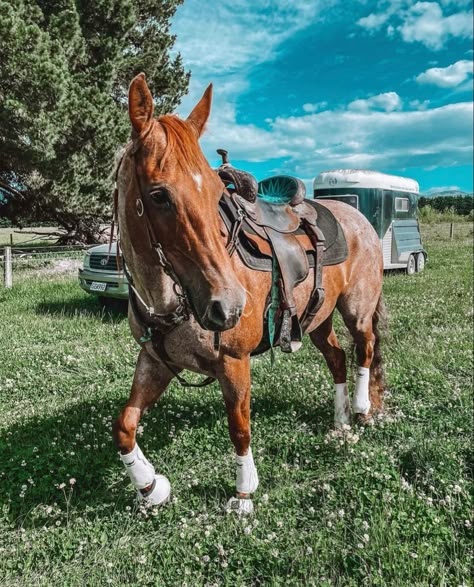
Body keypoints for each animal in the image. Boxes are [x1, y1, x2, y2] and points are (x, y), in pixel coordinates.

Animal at [111, 73, 386, 516]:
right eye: (158, 195)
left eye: (214, 195)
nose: (228, 307)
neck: (170, 299)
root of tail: (359, 218)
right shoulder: (154, 360)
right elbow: (124, 425)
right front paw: (150, 487)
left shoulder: (234, 363)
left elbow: (239, 427)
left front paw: (243, 493)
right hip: (318, 319)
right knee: (337, 358)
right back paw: (340, 420)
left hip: (357, 309)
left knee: (365, 346)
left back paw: (361, 408)